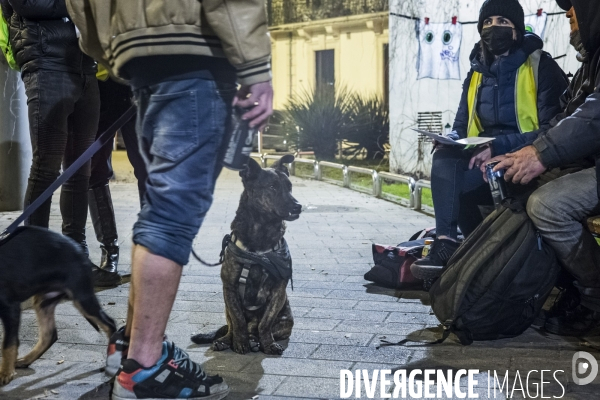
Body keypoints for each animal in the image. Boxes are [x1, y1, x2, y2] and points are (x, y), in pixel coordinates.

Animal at [0, 225, 116, 384]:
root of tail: (80, 251)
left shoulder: (10, 307)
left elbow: (8, 343)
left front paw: (6, 373)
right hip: (44, 301)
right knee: (50, 334)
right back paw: (26, 360)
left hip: (82, 296)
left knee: (110, 324)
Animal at [191, 155, 302, 354]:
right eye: (272, 187)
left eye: (289, 187)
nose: (298, 207)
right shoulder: (229, 287)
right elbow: (238, 320)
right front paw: (240, 343)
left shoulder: (278, 290)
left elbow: (265, 323)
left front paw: (268, 344)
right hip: (226, 307)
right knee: (231, 326)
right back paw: (228, 340)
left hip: (286, 321)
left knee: (258, 328)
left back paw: (255, 340)